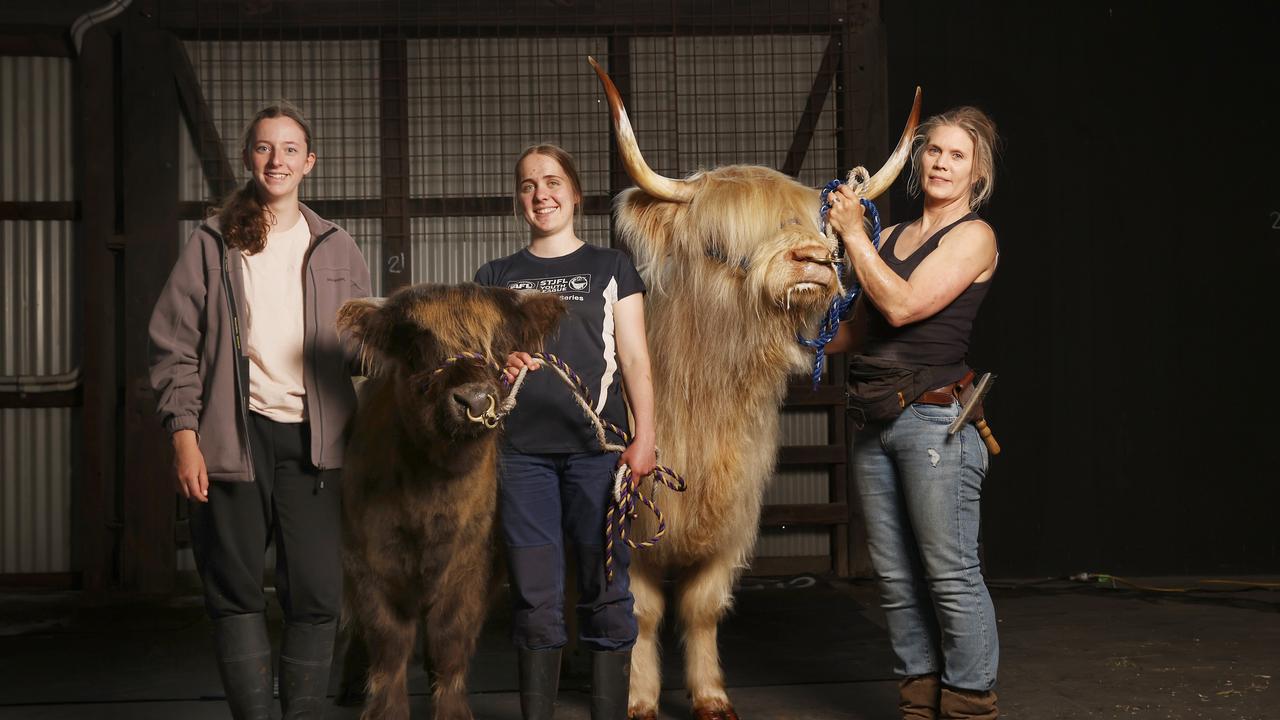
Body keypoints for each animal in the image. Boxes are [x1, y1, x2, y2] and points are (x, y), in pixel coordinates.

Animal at [337, 283, 563, 712]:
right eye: (415, 350)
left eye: (499, 346)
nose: (474, 401)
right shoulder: (367, 568)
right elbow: (389, 650)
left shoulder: (474, 570)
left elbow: (449, 643)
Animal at [588, 57, 921, 717]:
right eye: (720, 247)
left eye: (816, 227)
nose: (812, 259)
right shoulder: (629, 523)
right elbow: (638, 614)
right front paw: (638, 699)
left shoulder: (734, 520)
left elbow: (702, 608)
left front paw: (712, 697)